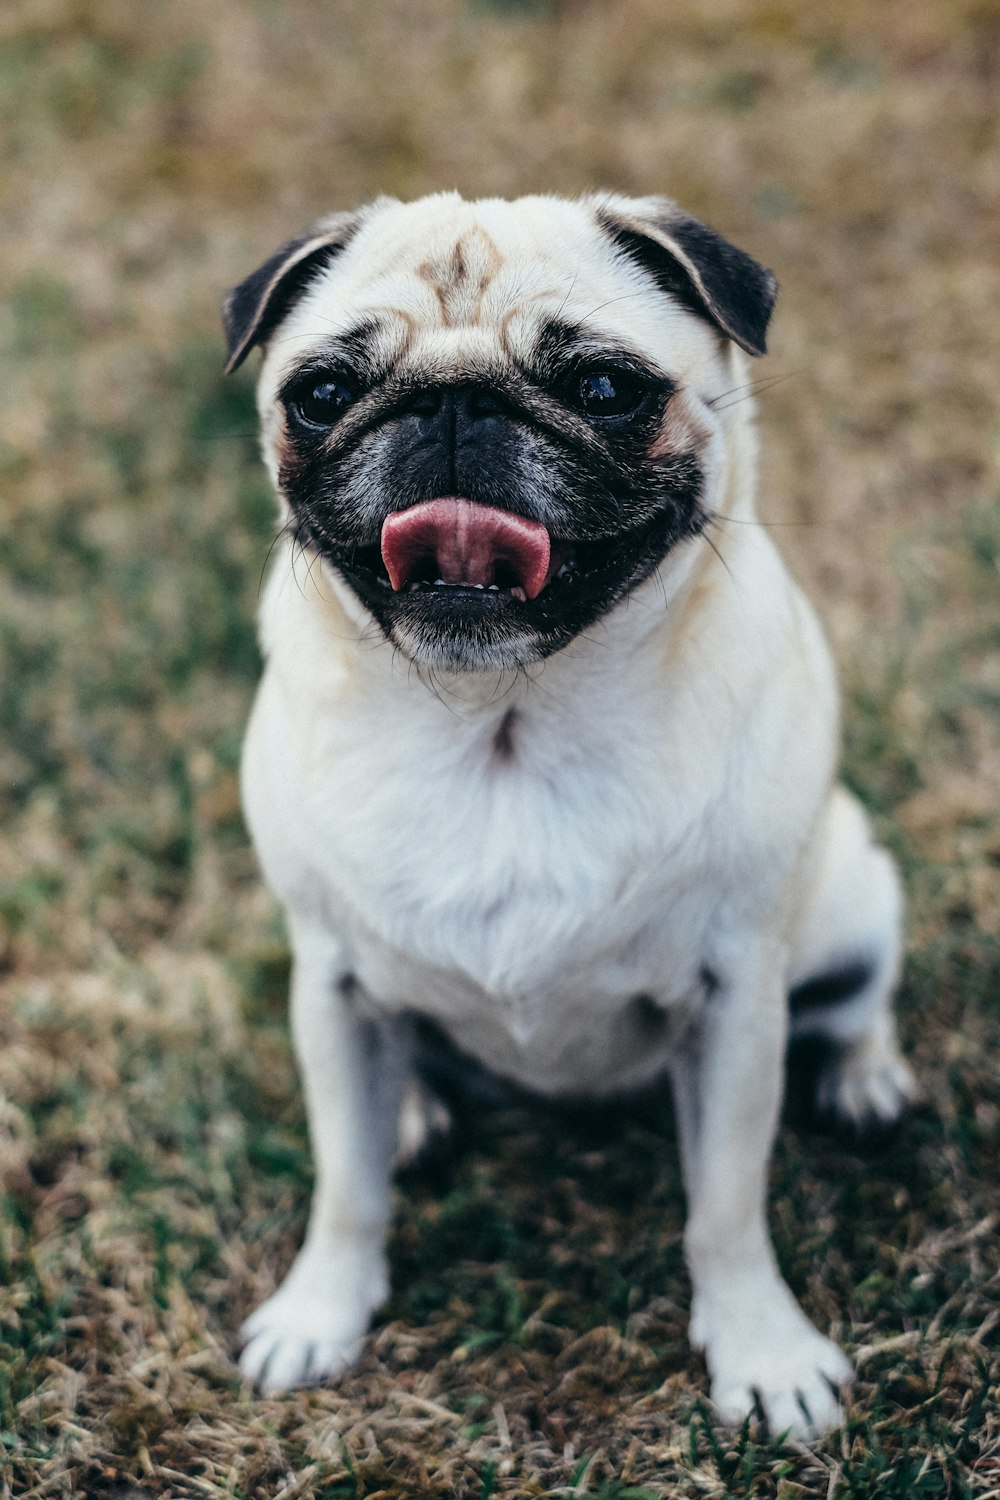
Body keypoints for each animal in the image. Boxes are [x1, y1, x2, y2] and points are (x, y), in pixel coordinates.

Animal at [223, 193, 917, 1434]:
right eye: (323, 393)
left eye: (602, 388)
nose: (453, 401)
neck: (505, 720)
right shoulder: (332, 987)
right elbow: (345, 1186)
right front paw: (321, 1313)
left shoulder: (736, 1002)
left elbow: (726, 1205)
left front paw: (762, 1352)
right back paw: (413, 1112)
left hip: (851, 894)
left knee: (854, 1001)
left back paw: (864, 1079)